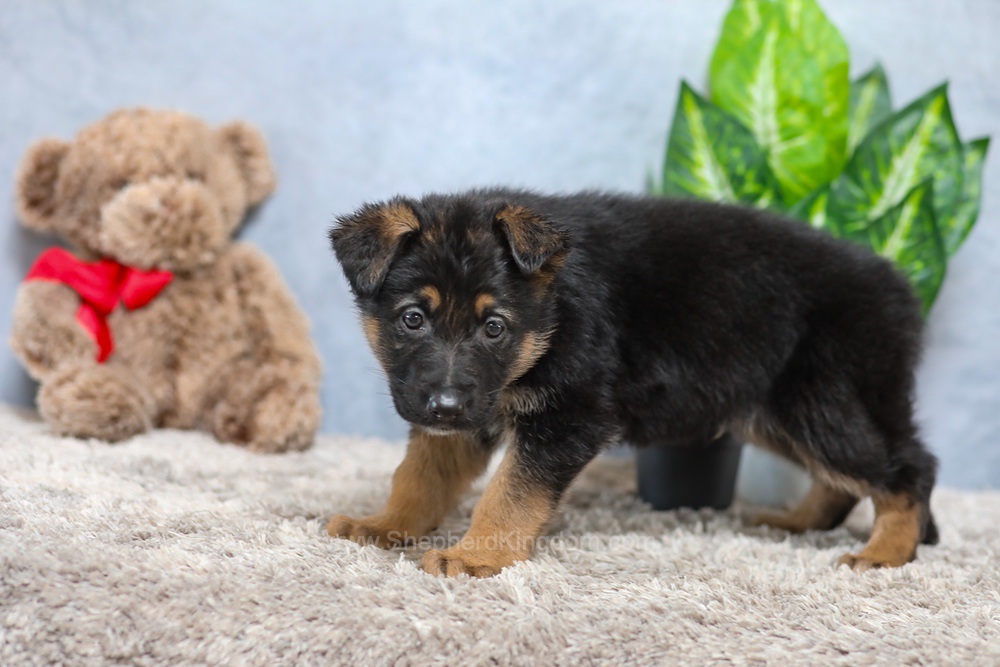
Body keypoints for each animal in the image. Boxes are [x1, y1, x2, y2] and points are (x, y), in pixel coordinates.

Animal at [327, 188, 938, 578]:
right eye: (412, 318)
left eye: (494, 327)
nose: (446, 407)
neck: (552, 315)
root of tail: (901, 289)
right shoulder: (466, 413)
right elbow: (418, 477)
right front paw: (385, 526)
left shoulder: (568, 417)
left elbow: (509, 494)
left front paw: (477, 557)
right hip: (774, 413)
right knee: (851, 478)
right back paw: (801, 522)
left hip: (817, 405)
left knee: (910, 469)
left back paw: (885, 554)